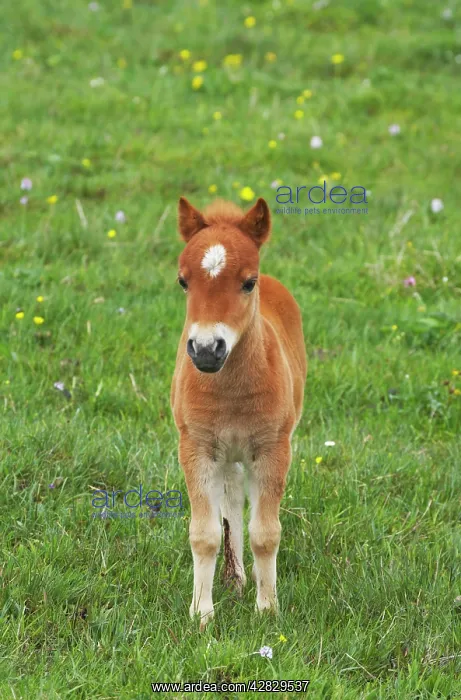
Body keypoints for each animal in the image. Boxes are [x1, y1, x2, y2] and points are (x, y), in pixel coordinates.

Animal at [170, 196, 307, 628]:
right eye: (183, 281)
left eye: (248, 282)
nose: (206, 350)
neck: (229, 392)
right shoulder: (195, 447)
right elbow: (205, 534)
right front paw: (201, 614)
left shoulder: (273, 449)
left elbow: (265, 533)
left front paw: (268, 610)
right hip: (224, 452)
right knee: (230, 501)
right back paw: (234, 579)